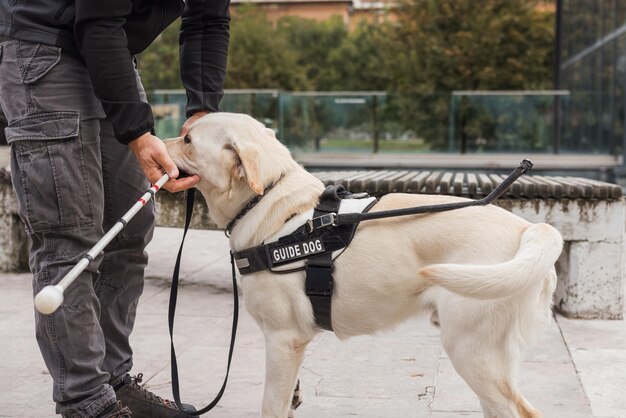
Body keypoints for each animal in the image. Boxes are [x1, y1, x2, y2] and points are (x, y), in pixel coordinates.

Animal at [165, 112, 560, 418]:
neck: (269, 204)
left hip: (472, 351)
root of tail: (529, 228)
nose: (156, 145)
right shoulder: (293, 348)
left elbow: (271, 407)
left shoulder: (282, 340)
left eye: (187, 139)